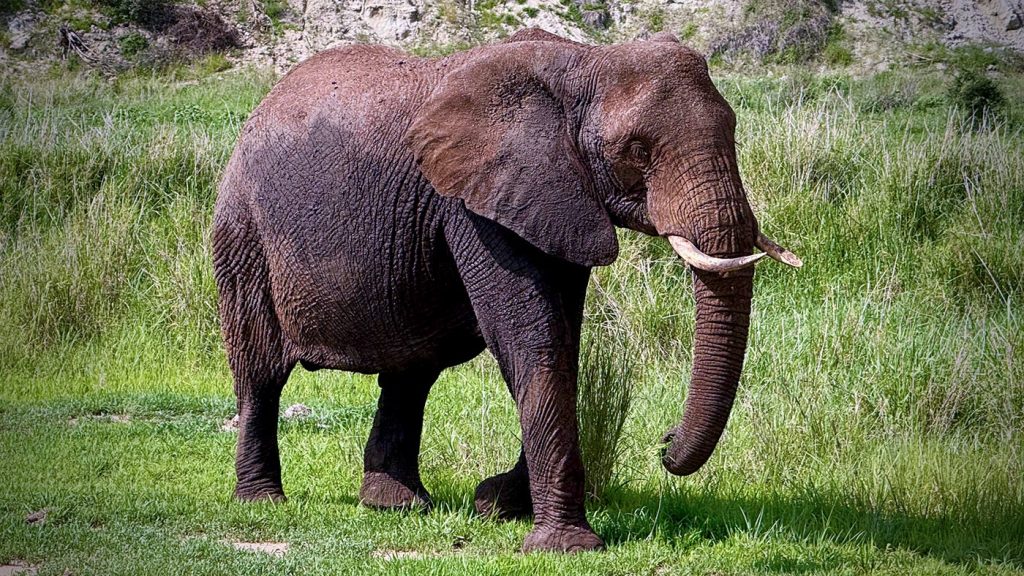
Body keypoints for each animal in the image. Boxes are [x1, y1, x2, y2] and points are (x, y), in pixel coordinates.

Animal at [212, 28, 801, 553]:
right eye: (636, 150)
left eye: (734, 130)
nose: (664, 444)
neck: (584, 62)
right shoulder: (475, 203)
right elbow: (529, 337)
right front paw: (564, 546)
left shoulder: (559, 198)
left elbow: (562, 343)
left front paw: (496, 505)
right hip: (242, 229)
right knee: (260, 370)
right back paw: (263, 501)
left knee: (411, 371)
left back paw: (394, 505)